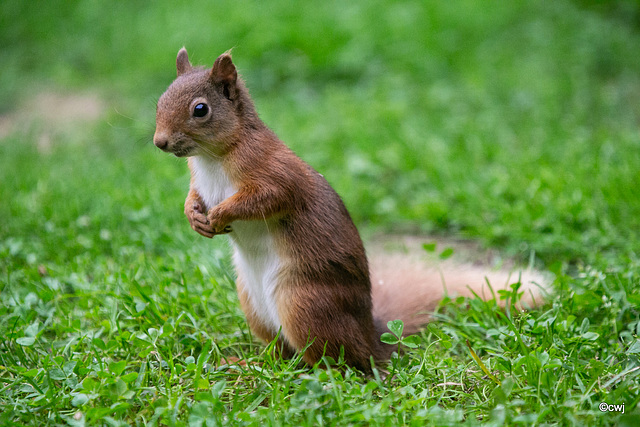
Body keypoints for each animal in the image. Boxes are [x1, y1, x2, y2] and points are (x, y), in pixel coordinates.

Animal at [152, 48, 548, 372]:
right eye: (159, 101)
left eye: (200, 109)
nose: (160, 142)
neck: (212, 158)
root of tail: (372, 338)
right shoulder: (199, 182)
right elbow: (192, 196)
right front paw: (194, 216)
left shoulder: (274, 174)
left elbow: (264, 199)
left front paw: (220, 215)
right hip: (253, 306)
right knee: (282, 352)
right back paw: (248, 363)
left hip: (304, 304)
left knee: (331, 361)